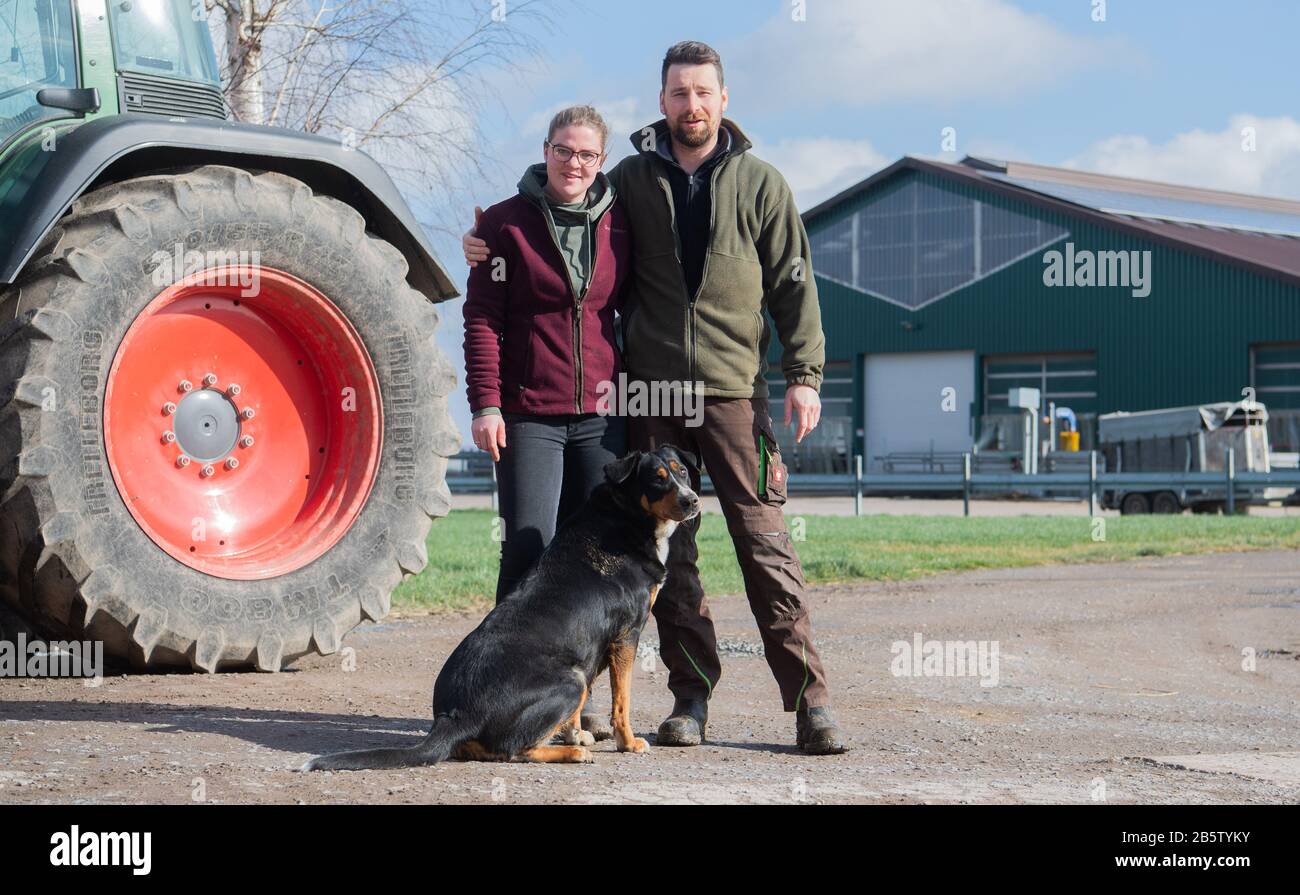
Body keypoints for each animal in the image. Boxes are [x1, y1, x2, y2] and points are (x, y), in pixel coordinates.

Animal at [302, 442, 702, 770]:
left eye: (681, 472)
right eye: (657, 479)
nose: (693, 500)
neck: (626, 516)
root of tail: (454, 715)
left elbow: (578, 716)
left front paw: (577, 734)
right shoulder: (626, 636)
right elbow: (623, 701)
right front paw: (628, 743)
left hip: (575, 676)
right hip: (570, 679)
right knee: (514, 750)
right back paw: (571, 753)